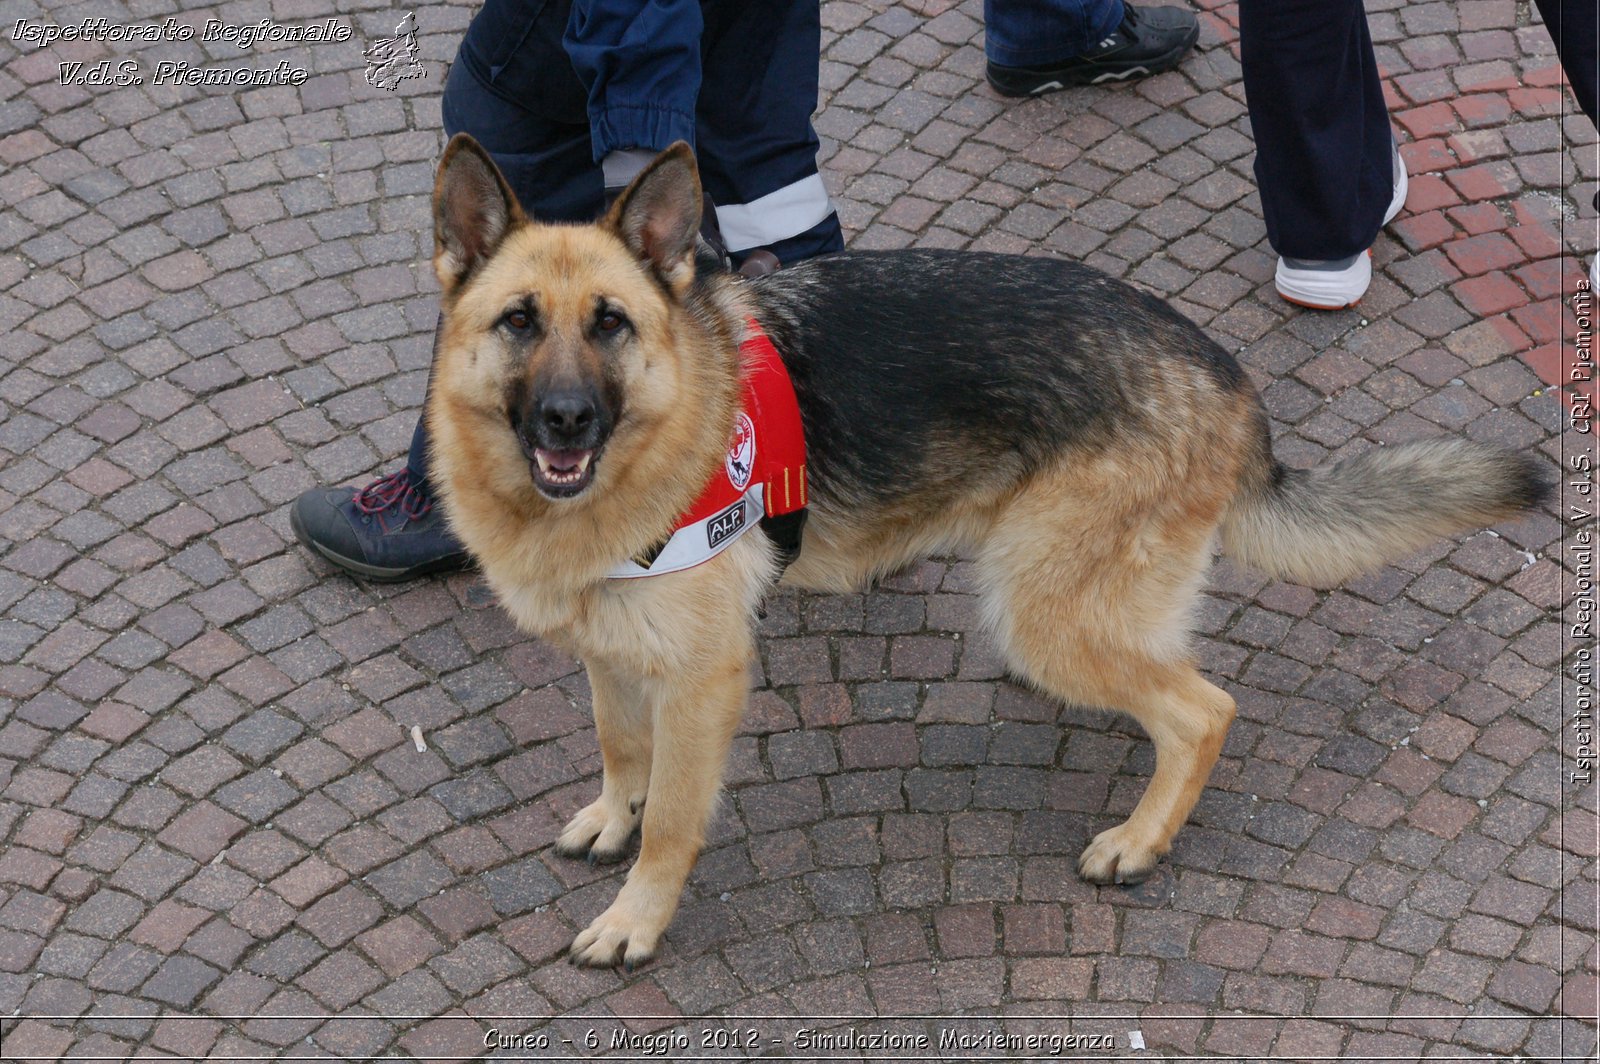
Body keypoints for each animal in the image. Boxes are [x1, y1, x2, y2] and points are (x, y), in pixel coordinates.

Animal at [425, 136, 1548, 966]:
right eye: (518, 321)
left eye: (610, 324)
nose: (566, 423)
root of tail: (1225, 378)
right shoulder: (613, 645)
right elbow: (621, 747)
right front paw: (612, 814)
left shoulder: (703, 677)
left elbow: (671, 823)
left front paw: (635, 917)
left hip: (1041, 613)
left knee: (1204, 710)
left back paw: (1136, 842)